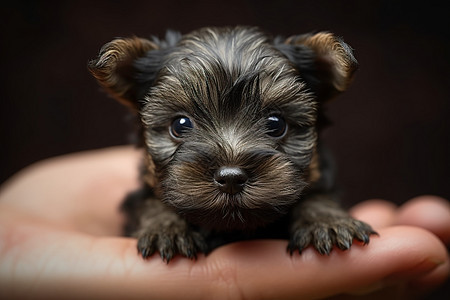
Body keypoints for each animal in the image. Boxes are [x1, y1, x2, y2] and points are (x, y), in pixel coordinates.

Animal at [88, 25, 376, 262]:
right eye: (180, 125)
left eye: (276, 124)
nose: (231, 178)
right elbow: (148, 202)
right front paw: (165, 229)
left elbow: (317, 194)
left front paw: (328, 221)